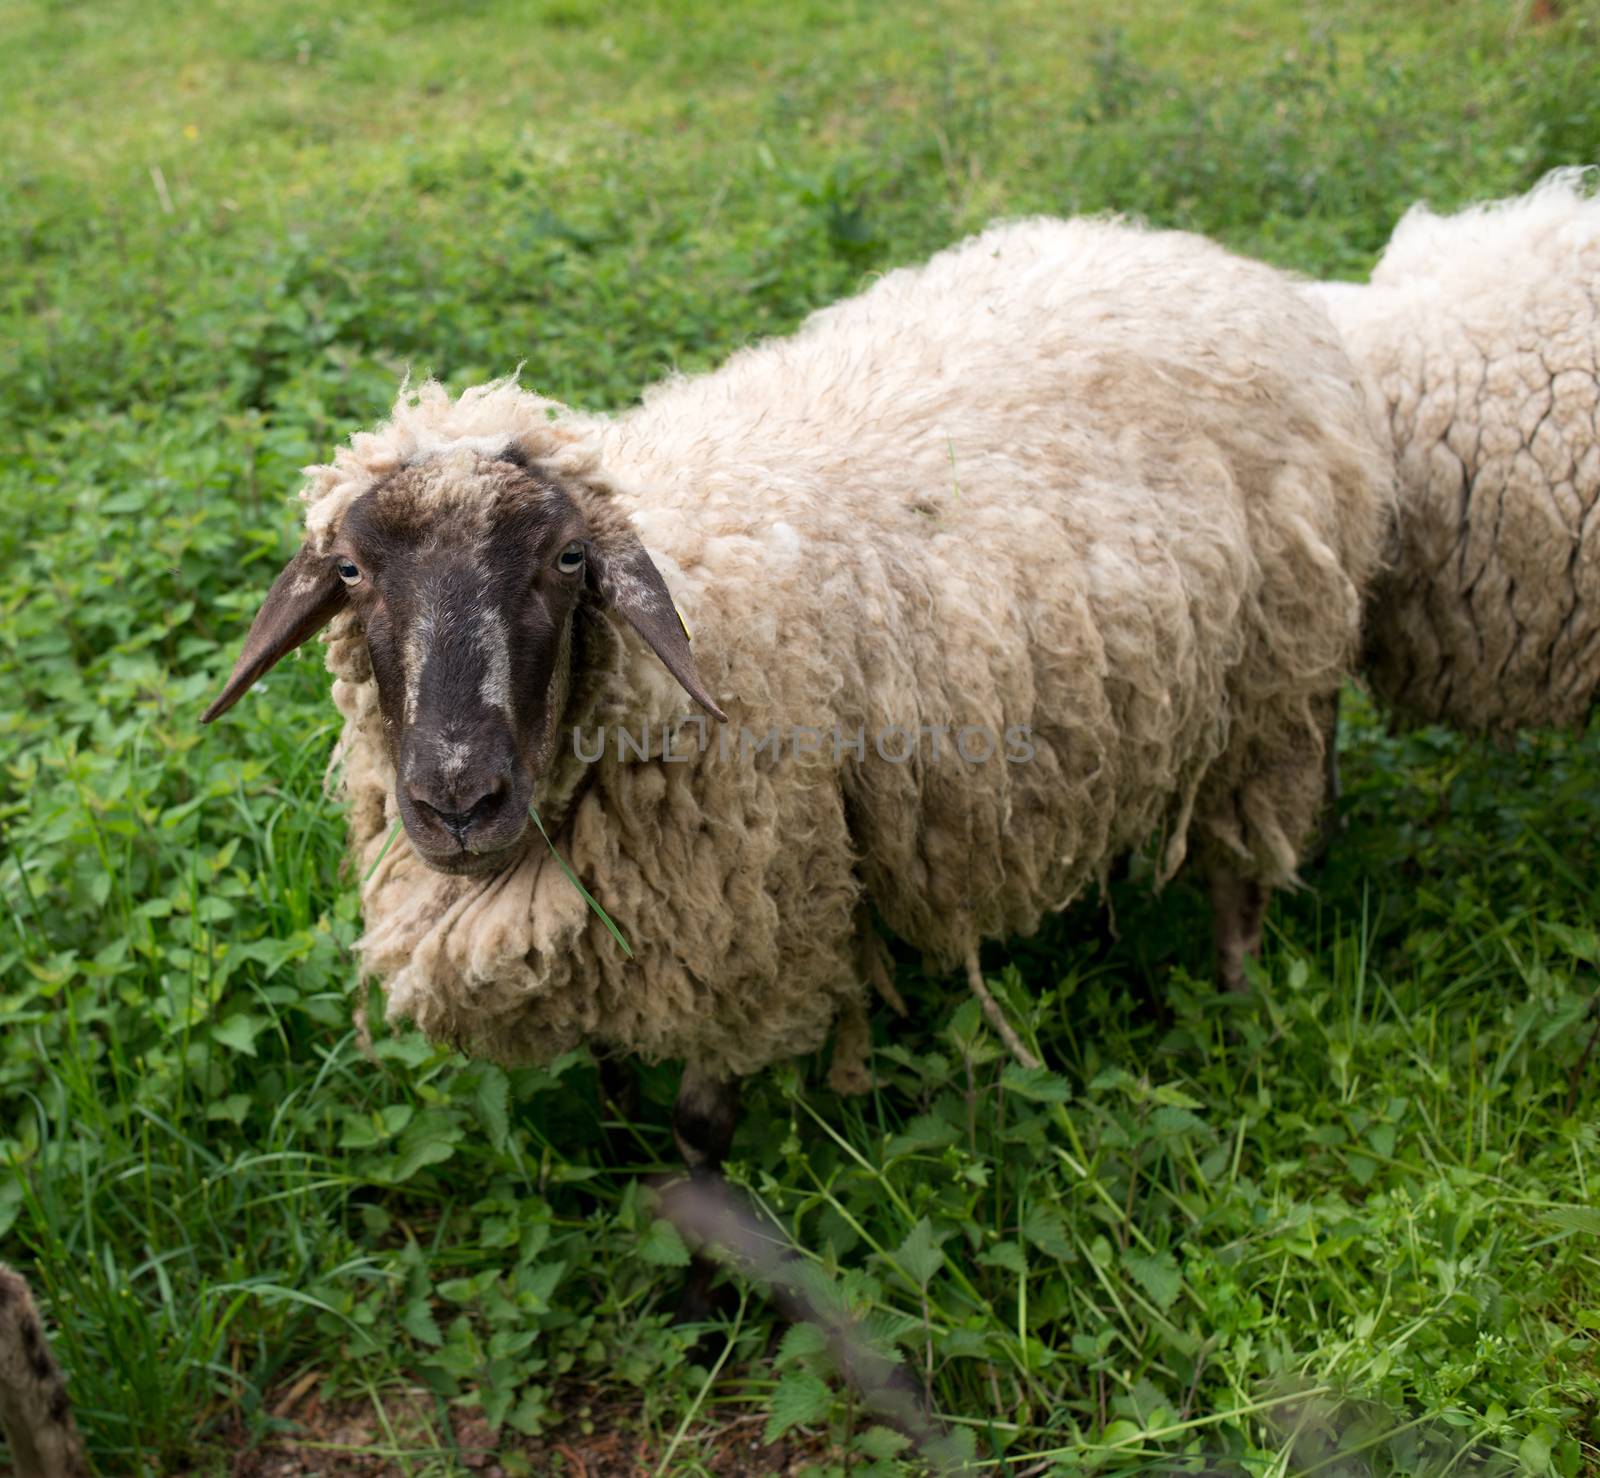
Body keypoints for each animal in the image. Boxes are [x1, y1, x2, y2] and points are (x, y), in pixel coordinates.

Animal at [203, 211, 1388, 1190]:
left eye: (569, 561)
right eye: (351, 570)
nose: (457, 798)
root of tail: (1203, 253)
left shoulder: (752, 913)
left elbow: (700, 1129)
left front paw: (695, 1280)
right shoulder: (610, 927)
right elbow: (609, 1076)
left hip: (1273, 684)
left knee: (1244, 864)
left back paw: (1236, 1002)